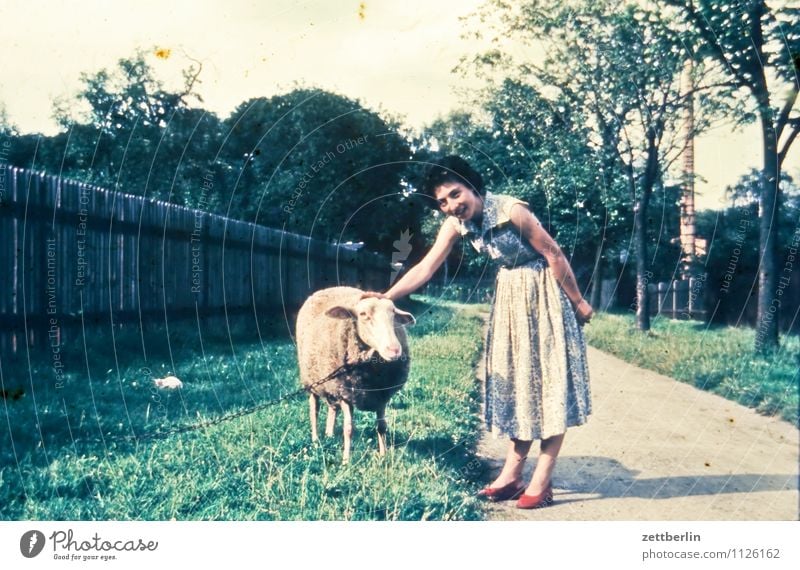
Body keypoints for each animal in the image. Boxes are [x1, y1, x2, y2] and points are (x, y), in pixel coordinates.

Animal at [296, 286, 416, 460]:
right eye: (363, 314)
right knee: (314, 409)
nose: (394, 350)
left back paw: (329, 434)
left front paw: (383, 455)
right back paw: (315, 438)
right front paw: (346, 459)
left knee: (333, 408)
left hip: (331, 386)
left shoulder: (381, 396)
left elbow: (382, 426)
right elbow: (348, 429)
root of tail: (325, 289)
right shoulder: (346, 394)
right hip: (312, 381)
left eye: (393, 314)